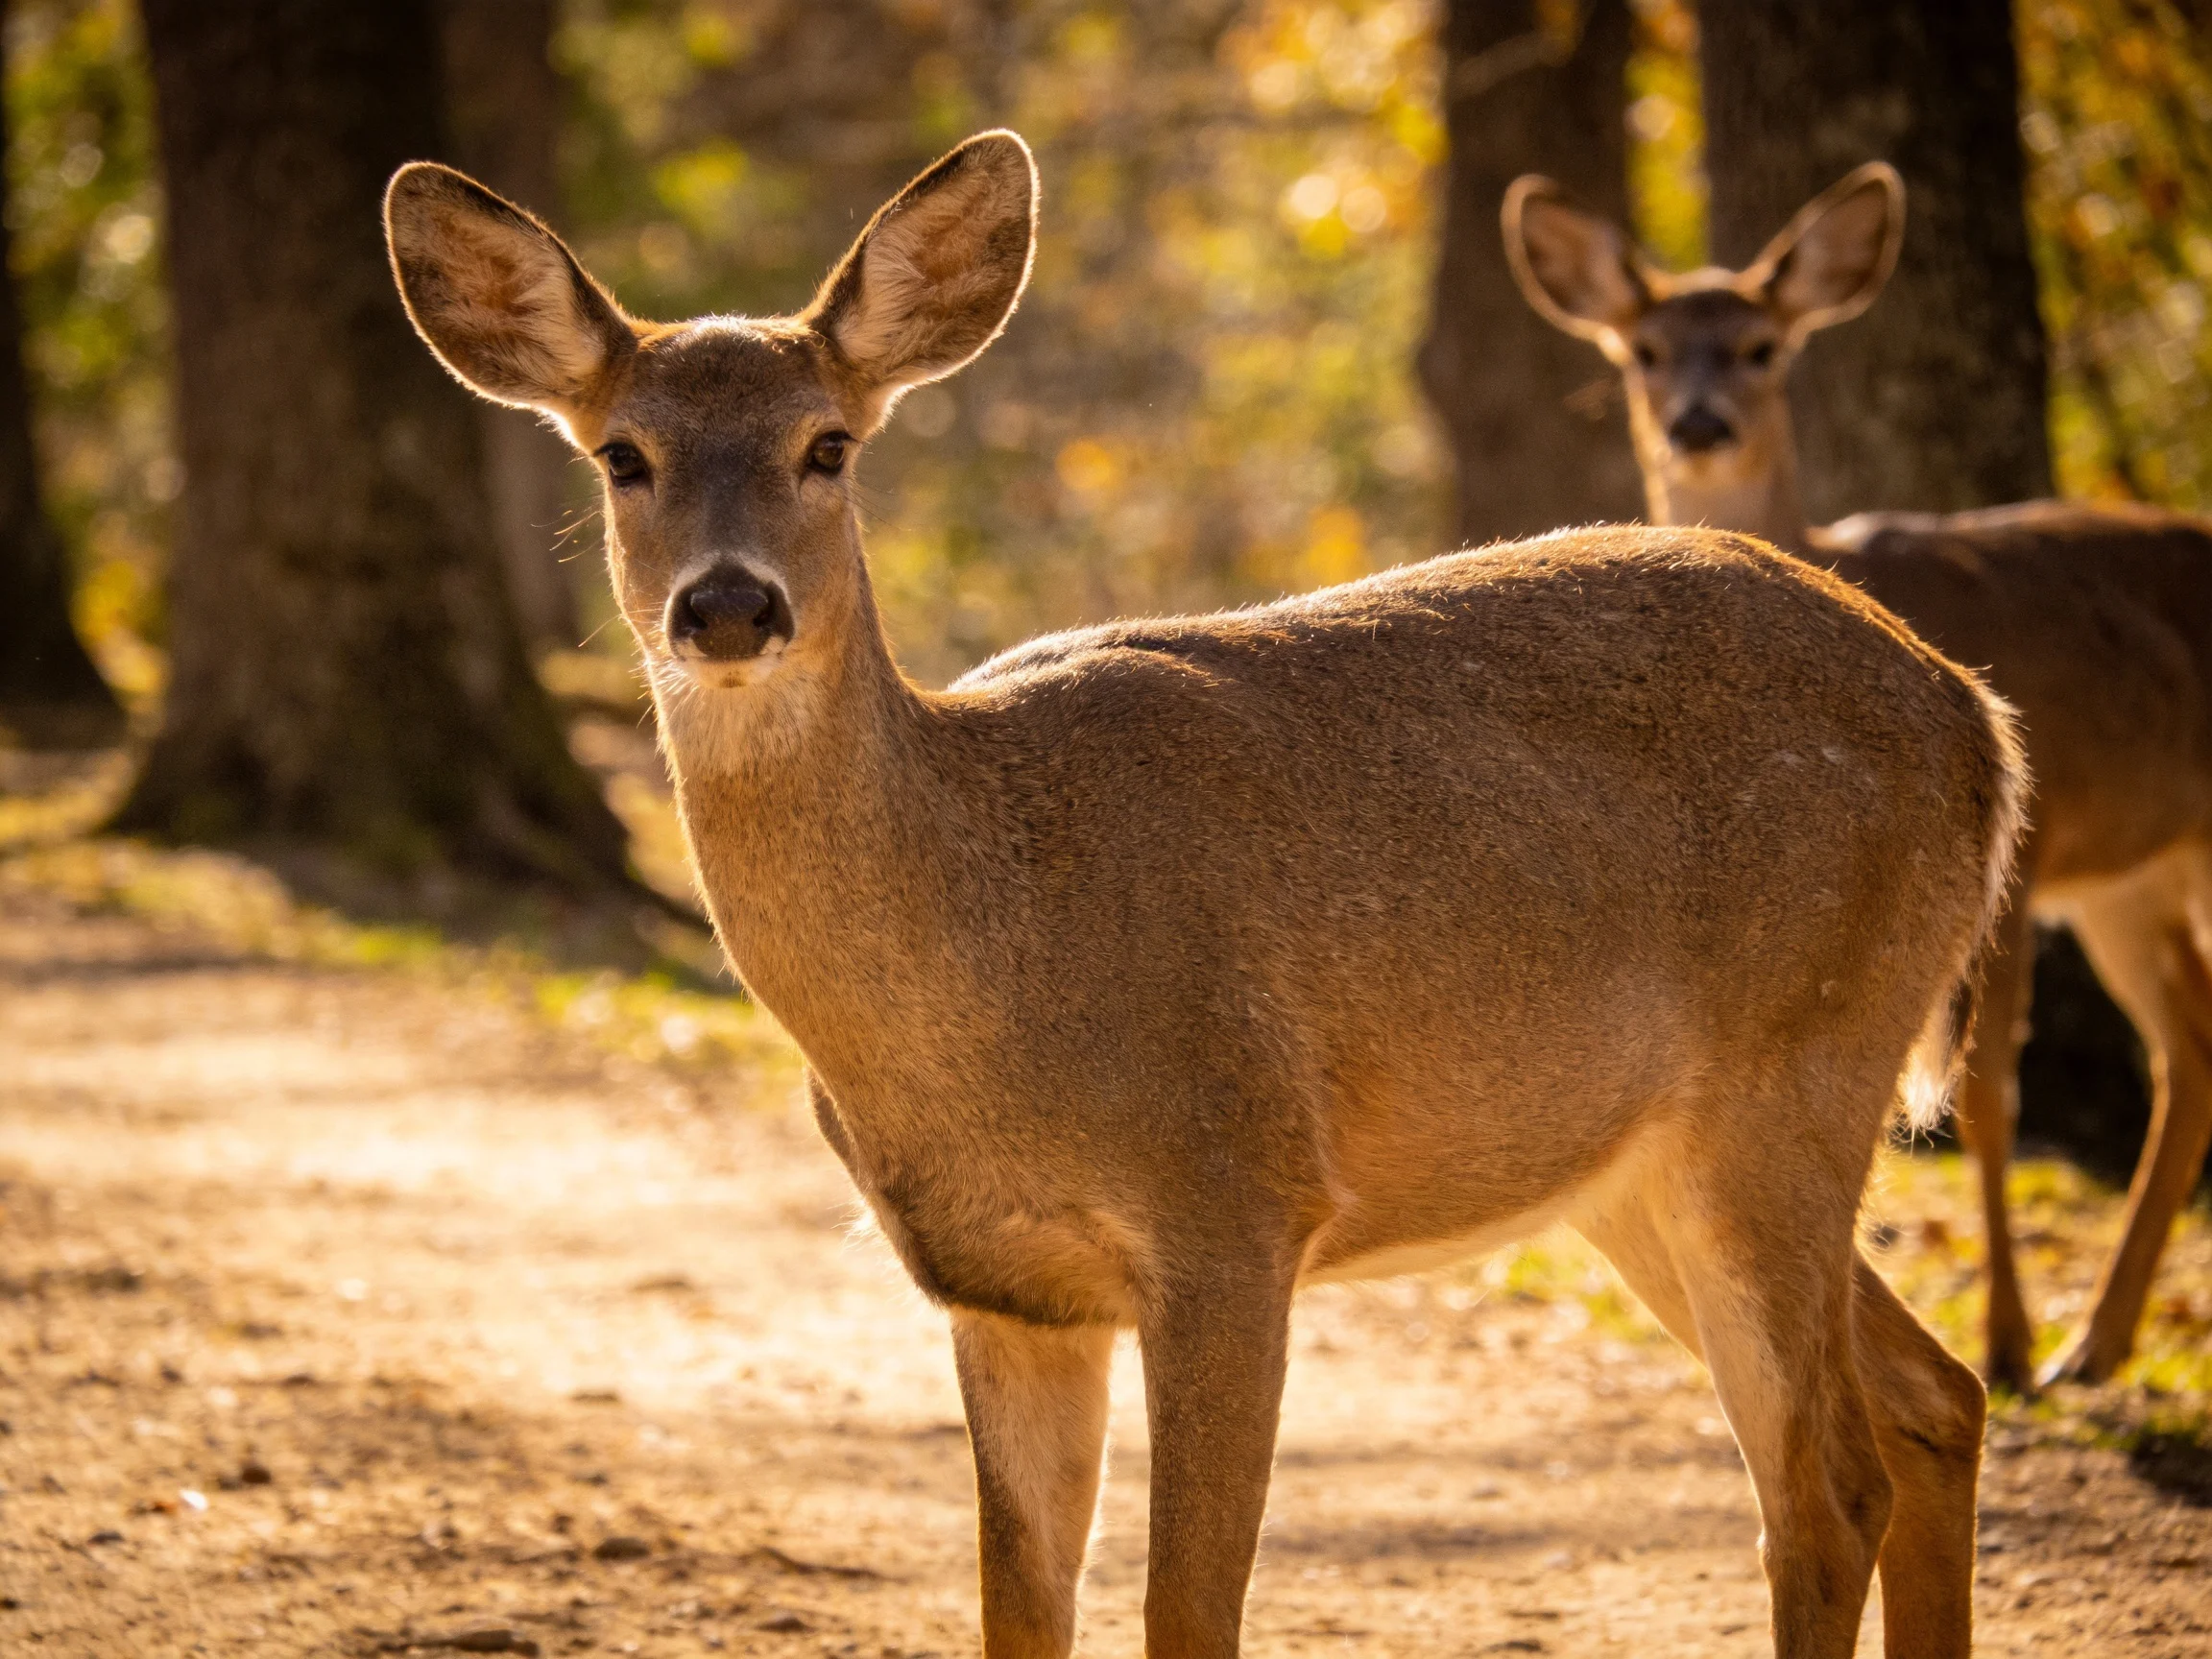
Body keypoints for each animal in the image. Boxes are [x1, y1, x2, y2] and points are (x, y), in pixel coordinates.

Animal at [387, 131, 2025, 1659]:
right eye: (623, 455)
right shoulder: (1002, 1288)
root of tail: (1977, 720)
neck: (991, 941)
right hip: (1634, 1160)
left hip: (1794, 1067)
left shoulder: (1235, 1202)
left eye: (828, 443)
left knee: (1829, 1487)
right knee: (1934, 1402)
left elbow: (1189, 1610)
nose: (728, 605)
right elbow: (1020, 1610)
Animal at [1506, 160, 2212, 1395]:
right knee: (2192, 1049)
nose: (1700, 424)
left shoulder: (2026, 854)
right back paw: (2101, 1344)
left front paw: (2008, 1343)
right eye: (1644, 350)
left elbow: (1986, 1100)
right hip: (2136, 876)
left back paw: (2080, 1344)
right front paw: (2028, 1341)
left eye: (1761, 346)